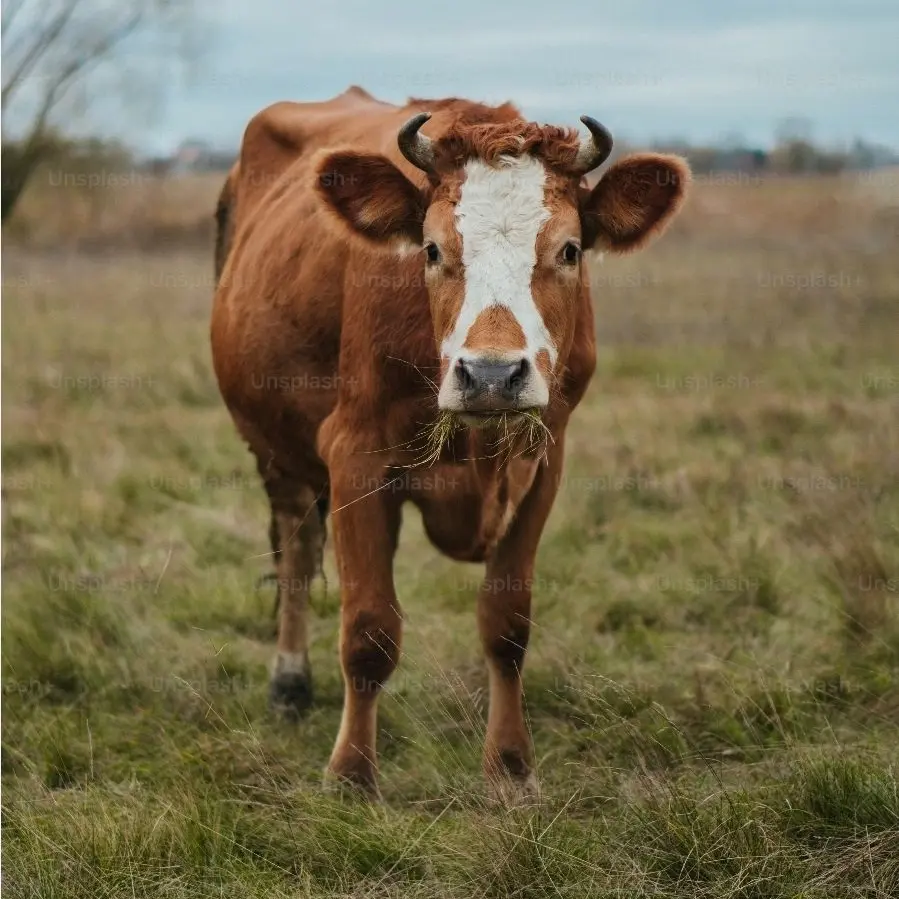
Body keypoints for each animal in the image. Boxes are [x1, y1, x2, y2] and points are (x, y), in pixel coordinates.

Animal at [211, 85, 689, 797]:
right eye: (433, 250)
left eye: (570, 250)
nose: (491, 374)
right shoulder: (354, 458)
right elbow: (369, 629)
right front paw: (351, 775)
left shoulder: (545, 461)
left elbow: (507, 624)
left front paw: (511, 767)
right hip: (273, 447)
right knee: (295, 550)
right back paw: (290, 682)